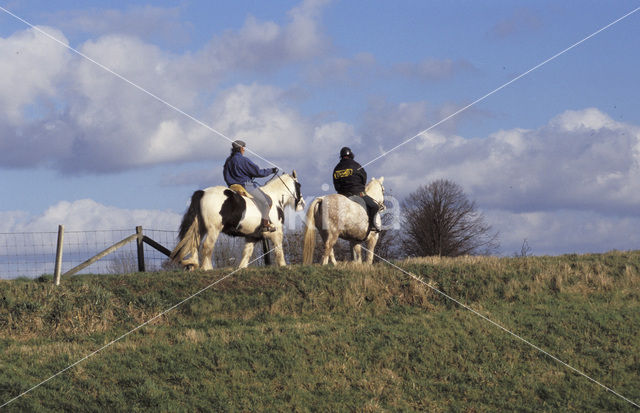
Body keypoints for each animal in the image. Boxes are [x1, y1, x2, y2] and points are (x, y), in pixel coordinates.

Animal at [171, 170, 304, 268]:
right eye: (299, 185)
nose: (302, 204)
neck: (275, 198)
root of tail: (203, 192)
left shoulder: (252, 237)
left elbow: (246, 254)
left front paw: (241, 269)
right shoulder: (276, 233)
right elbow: (279, 251)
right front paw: (283, 266)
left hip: (200, 228)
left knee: (195, 244)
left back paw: (193, 265)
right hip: (213, 230)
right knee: (207, 246)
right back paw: (207, 268)